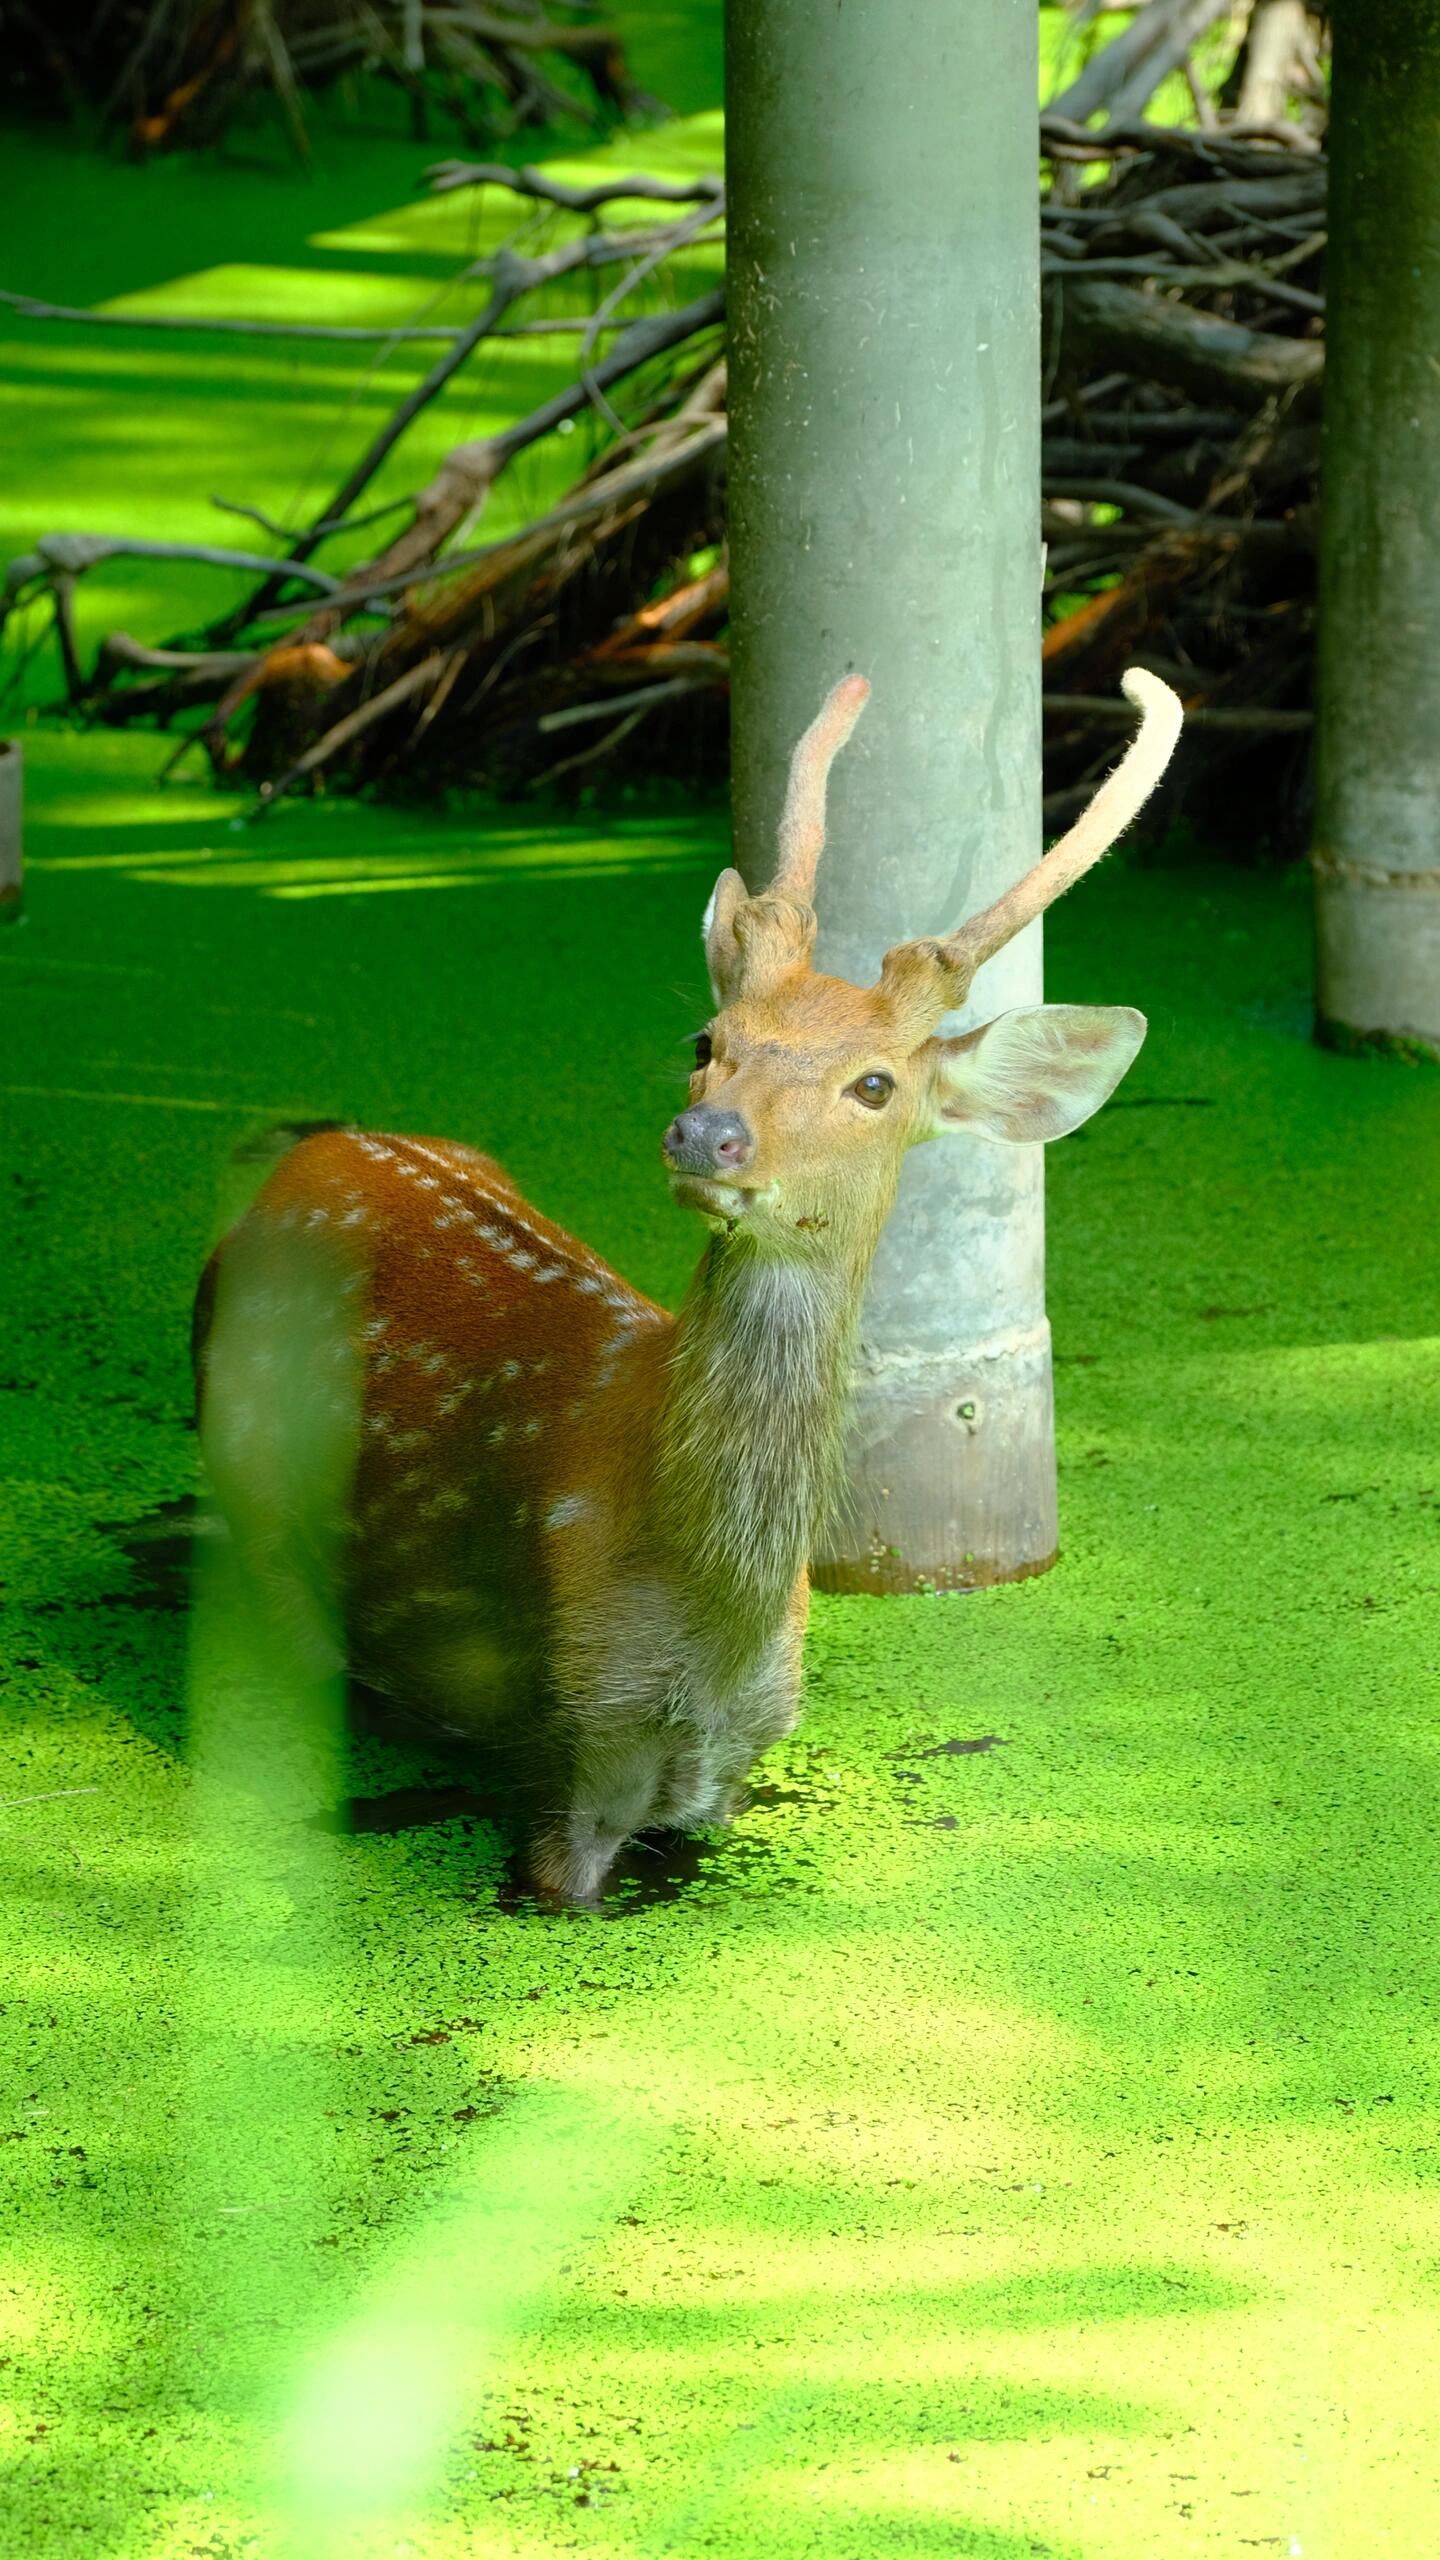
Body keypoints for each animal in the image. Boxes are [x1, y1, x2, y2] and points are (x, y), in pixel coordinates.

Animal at [195, 666, 1181, 1904]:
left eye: (875, 1084)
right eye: (707, 1038)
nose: (706, 1134)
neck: (711, 1613)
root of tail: (309, 1156)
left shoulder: (730, 1770)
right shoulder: (570, 1745)